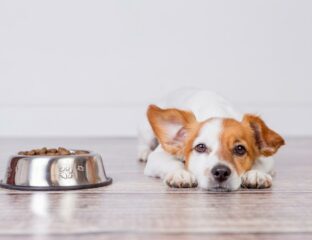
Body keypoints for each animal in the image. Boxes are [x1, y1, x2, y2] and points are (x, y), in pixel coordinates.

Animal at [138, 88, 286, 191]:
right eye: (200, 147)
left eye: (240, 149)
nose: (221, 172)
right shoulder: (158, 157)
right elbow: (173, 163)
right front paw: (181, 174)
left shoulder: (267, 159)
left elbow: (259, 164)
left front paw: (255, 174)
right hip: (147, 134)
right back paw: (143, 153)